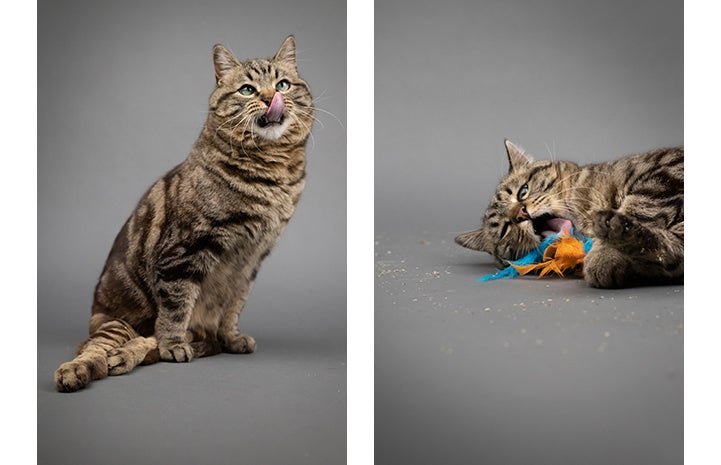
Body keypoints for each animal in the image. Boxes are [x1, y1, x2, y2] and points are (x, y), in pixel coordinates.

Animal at [452, 140, 684, 288]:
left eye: (523, 191)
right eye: (505, 228)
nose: (521, 213)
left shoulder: (666, 172)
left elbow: (639, 210)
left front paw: (604, 254)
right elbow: (667, 250)